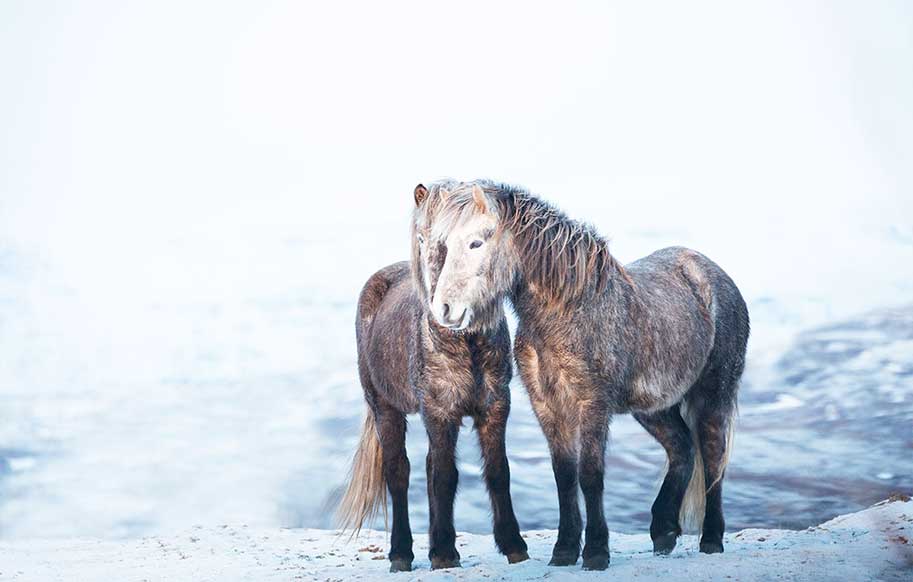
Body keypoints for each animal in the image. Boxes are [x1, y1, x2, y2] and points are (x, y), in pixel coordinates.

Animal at [336, 185, 528, 572]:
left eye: (476, 242)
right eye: (422, 238)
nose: (447, 309)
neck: (465, 344)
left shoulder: (496, 407)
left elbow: (498, 472)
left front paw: (514, 544)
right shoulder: (440, 412)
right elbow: (444, 476)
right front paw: (442, 552)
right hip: (385, 408)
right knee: (399, 473)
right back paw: (401, 553)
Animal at [416, 179, 752, 572]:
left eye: (476, 243)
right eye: (444, 245)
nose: (445, 310)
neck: (564, 312)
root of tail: (714, 274)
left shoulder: (592, 404)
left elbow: (590, 475)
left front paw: (595, 552)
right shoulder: (547, 405)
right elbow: (564, 475)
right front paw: (563, 550)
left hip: (712, 396)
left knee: (713, 457)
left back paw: (711, 539)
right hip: (654, 408)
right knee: (682, 449)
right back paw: (663, 532)